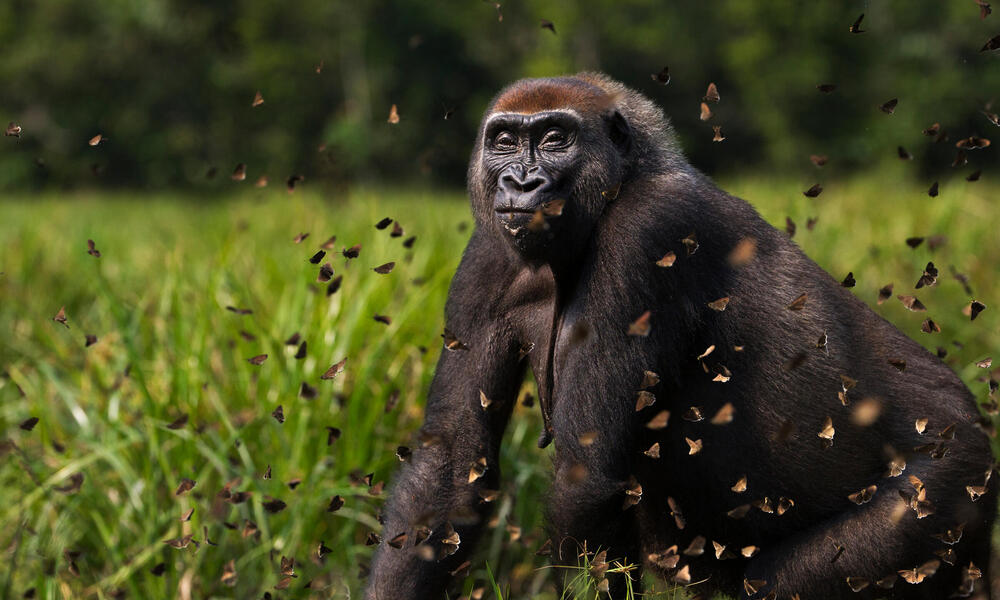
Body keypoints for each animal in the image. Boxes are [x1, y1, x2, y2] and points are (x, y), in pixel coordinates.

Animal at [364, 74, 988, 600]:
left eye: (554, 138)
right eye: (503, 141)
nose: (519, 182)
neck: (622, 179)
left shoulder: (648, 230)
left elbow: (586, 478)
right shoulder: (486, 256)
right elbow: (451, 467)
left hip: (947, 486)